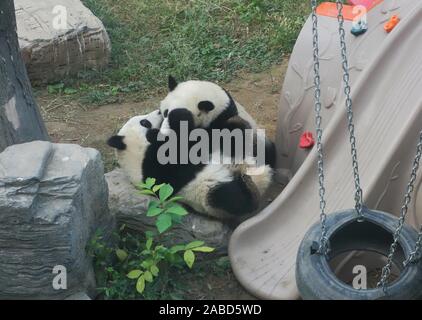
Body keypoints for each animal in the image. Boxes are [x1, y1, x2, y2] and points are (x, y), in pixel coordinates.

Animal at [108, 110, 274, 220]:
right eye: (144, 122)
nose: (159, 112)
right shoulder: (156, 166)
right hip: (210, 194)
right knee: (230, 198)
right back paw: (250, 190)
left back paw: (238, 123)